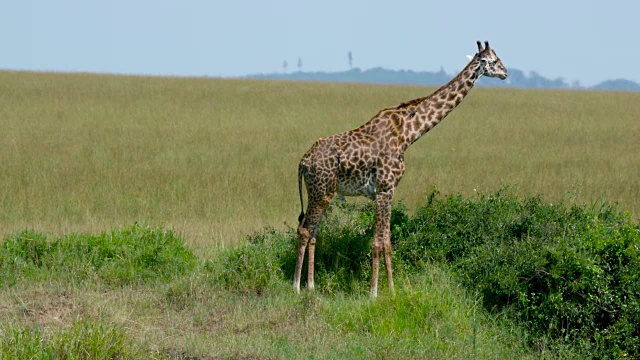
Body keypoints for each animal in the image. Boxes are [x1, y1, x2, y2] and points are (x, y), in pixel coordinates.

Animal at [292, 40, 508, 296]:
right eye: (494, 61)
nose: (506, 73)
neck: (407, 133)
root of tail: (303, 162)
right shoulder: (385, 189)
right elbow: (377, 242)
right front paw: (374, 293)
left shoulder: (389, 191)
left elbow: (387, 242)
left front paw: (393, 291)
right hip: (320, 191)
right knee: (305, 231)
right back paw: (296, 287)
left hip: (323, 192)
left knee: (314, 233)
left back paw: (311, 286)